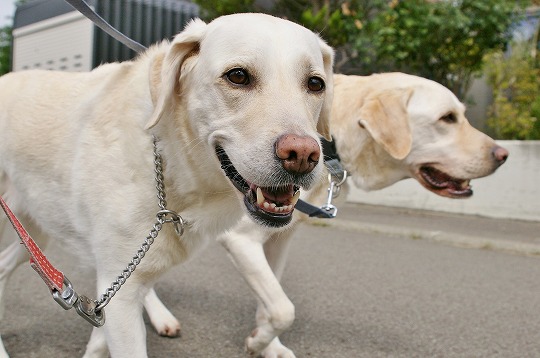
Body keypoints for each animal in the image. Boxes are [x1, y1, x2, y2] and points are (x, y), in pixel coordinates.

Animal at [0, 13, 334, 358]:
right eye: (238, 76)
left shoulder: (115, 293)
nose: (302, 156)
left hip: (36, 232)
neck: (167, 159)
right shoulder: (120, 297)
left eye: (315, 84)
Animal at [143, 73, 506, 358]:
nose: (503, 154)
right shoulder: (241, 240)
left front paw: (269, 346)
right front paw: (257, 343)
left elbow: (270, 304)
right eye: (447, 118)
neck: (330, 139)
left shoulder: (279, 239)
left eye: (459, 115)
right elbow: (283, 308)